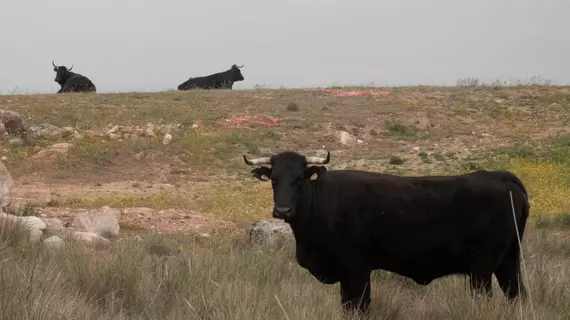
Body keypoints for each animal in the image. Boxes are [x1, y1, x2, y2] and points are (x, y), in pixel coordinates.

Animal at [243, 151, 528, 316]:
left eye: (299, 179)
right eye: (274, 179)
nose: (282, 209)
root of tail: (501, 176)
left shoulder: (357, 268)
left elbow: (359, 306)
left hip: (482, 265)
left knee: (485, 298)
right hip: (508, 261)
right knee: (517, 294)